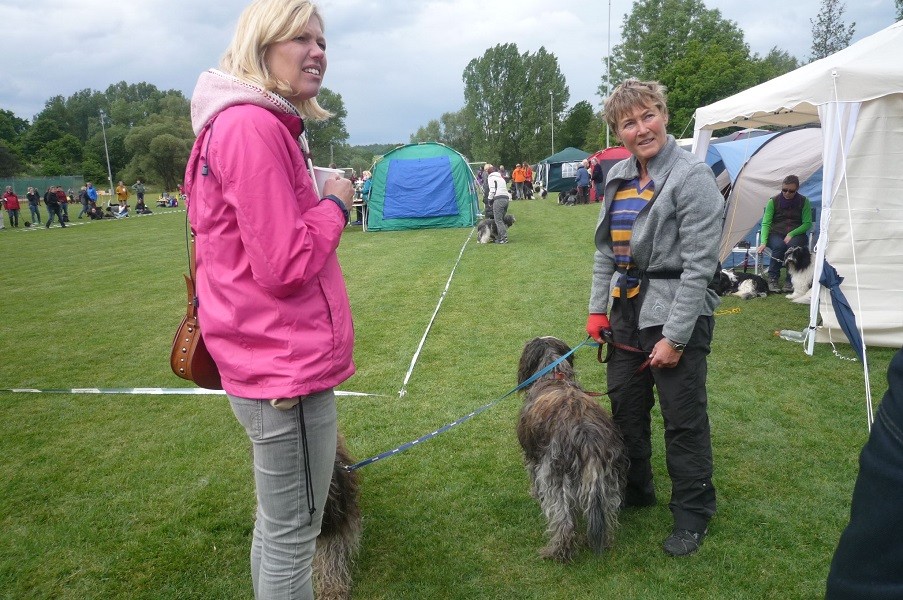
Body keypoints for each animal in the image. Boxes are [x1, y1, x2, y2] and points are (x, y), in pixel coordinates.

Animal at [516, 338, 628, 564]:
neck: (554, 375)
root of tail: (587, 439)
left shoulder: (533, 457)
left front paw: (534, 494)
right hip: (608, 480)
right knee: (606, 513)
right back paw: (603, 541)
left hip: (556, 479)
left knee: (563, 521)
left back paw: (558, 552)